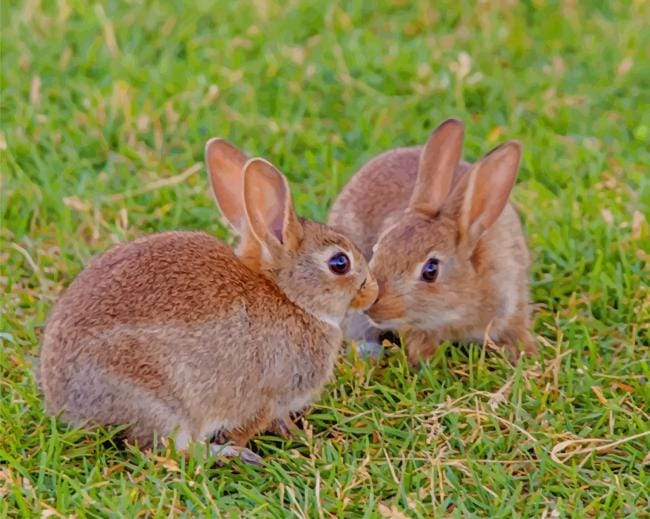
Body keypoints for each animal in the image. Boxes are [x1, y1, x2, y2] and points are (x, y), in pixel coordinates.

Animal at [40, 138, 378, 464]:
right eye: (339, 263)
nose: (373, 291)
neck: (289, 296)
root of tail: (67, 402)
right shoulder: (268, 396)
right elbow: (255, 423)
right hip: (160, 403)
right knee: (172, 451)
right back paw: (232, 455)